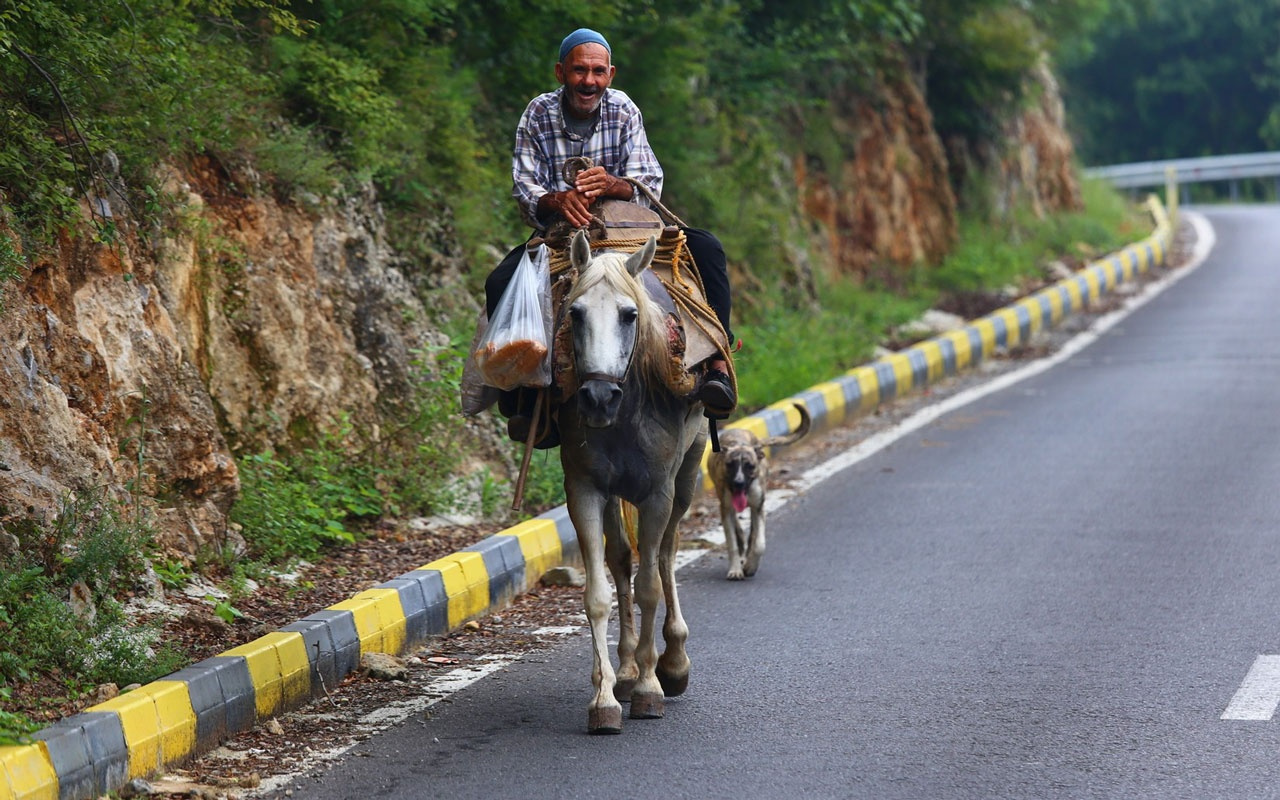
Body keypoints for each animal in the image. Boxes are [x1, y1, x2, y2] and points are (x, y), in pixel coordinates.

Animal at [555, 227, 706, 732]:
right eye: (575, 312)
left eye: (629, 315)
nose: (598, 397)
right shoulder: (584, 490)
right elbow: (599, 594)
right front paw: (606, 696)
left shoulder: (658, 493)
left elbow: (650, 585)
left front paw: (649, 687)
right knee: (622, 560)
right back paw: (625, 668)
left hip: (688, 473)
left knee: (666, 554)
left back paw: (672, 662)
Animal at [706, 401, 814, 576]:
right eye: (730, 465)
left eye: (749, 466)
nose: (738, 483)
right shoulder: (726, 508)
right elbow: (732, 543)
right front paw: (736, 569)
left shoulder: (759, 507)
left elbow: (759, 544)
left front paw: (750, 566)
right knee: (738, 530)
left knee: (752, 534)